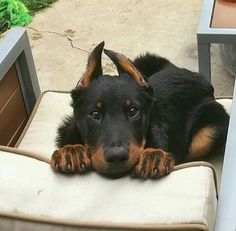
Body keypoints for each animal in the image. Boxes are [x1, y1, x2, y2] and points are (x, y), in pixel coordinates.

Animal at [50, 41, 230, 179]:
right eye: (94, 114)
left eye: (133, 111)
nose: (117, 157)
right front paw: (72, 152)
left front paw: (152, 156)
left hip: (211, 131)